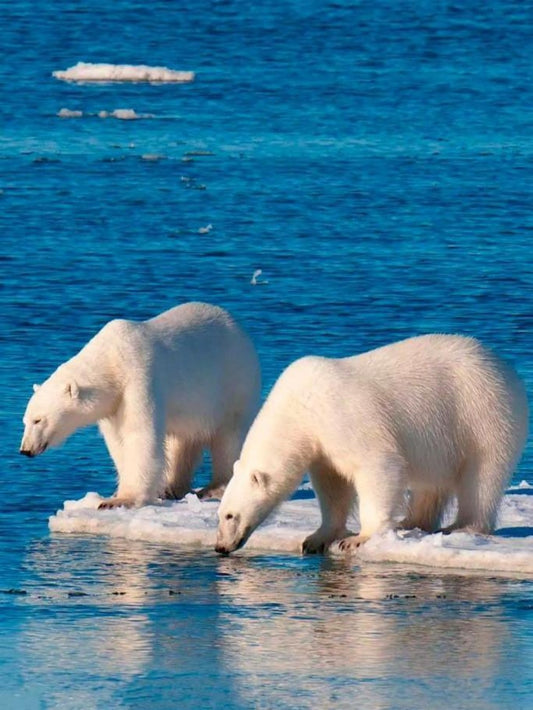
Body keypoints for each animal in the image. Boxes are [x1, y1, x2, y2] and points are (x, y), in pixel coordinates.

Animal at [20, 302, 261, 508]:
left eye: (38, 420)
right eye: (26, 420)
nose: (25, 450)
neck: (111, 361)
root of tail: (238, 328)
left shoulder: (138, 378)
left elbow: (140, 434)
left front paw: (120, 500)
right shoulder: (114, 404)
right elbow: (118, 441)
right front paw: (118, 493)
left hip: (234, 379)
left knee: (229, 434)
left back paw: (216, 487)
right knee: (182, 441)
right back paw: (171, 488)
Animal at [215, 334, 528, 555]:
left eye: (230, 515)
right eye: (219, 514)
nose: (220, 547)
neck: (300, 406)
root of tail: (506, 369)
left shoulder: (344, 418)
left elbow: (378, 465)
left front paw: (358, 539)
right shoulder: (322, 448)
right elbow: (333, 486)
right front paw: (315, 539)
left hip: (482, 415)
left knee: (482, 477)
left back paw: (463, 526)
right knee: (431, 483)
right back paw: (411, 522)